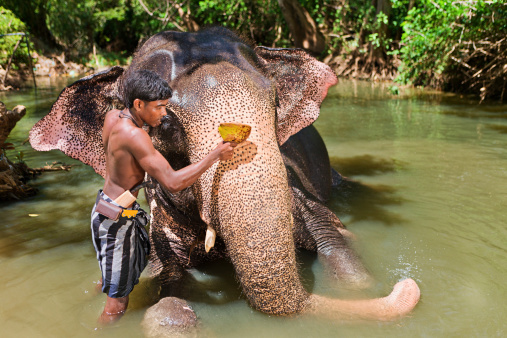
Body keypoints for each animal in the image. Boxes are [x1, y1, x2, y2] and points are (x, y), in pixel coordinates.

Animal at [29, 27, 422, 330]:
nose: (406, 284)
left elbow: (342, 248)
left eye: (274, 103)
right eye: (166, 122)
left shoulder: (300, 195)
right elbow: (165, 291)